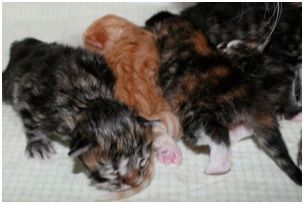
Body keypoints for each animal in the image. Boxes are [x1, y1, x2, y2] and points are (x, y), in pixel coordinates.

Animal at [1, 37, 154, 191]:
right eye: (113, 168)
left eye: (142, 160)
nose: (134, 182)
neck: (90, 101)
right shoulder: (30, 96)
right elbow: (31, 122)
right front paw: (38, 144)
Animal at [145, 11, 302, 186]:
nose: (221, 46)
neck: (177, 24)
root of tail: (251, 96)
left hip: (196, 118)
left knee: (218, 137)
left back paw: (217, 165)